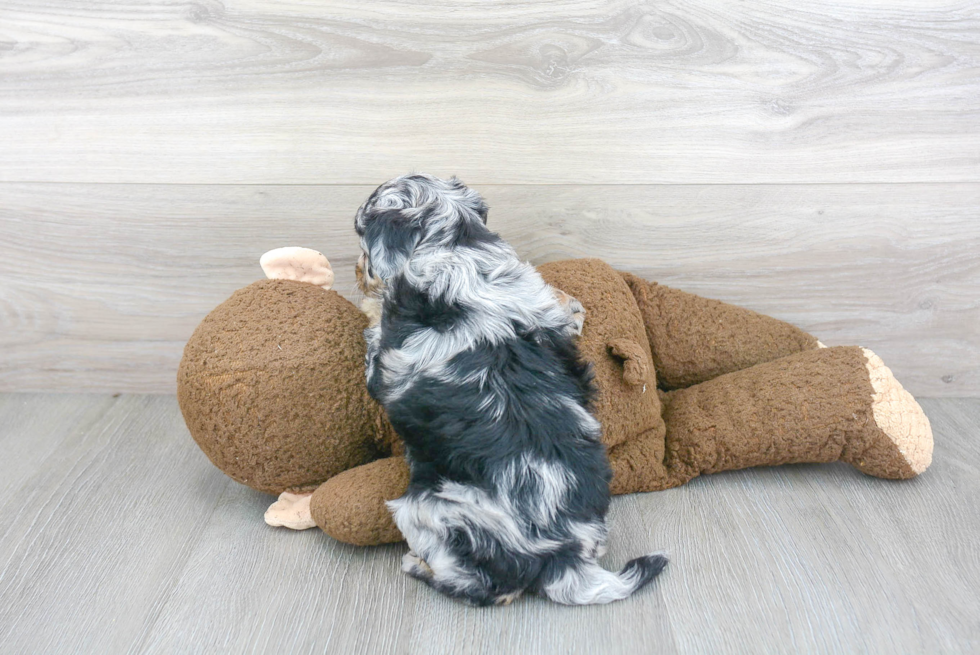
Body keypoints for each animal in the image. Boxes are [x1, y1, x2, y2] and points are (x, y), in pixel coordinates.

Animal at [352, 173, 668, 604]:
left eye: (360, 231)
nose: (357, 269)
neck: (457, 247)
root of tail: (565, 559)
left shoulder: (385, 366)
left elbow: (373, 343)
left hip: (425, 508)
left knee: (483, 587)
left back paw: (418, 566)